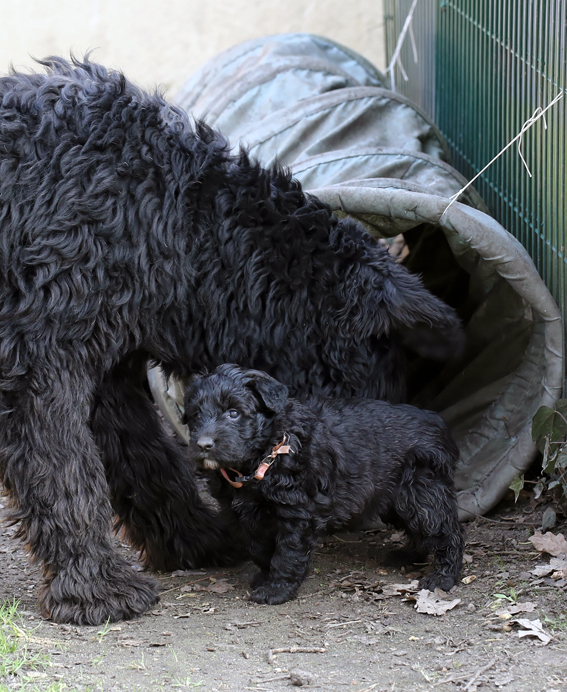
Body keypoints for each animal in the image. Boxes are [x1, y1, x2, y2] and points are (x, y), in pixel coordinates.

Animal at [186, 364, 466, 604]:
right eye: (196, 415)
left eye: (233, 413)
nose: (203, 445)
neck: (267, 455)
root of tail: (437, 423)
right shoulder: (241, 517)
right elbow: (260, 548)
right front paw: (265, 577)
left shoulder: (297, 513)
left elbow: (287, 554)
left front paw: (277, 590)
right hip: (396, 500)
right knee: (421, 532)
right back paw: (407, 556)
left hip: (420, 493)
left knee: (447, 532)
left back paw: (443, 577)